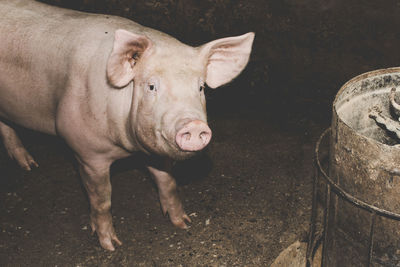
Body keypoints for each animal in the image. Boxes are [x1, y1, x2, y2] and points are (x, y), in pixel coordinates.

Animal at [0, 0, 255, 251]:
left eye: (200, 87)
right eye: (151, 86)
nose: (192, 124)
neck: (129, 149)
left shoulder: (155, 149)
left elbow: (168, 182)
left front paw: (183, 223)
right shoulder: (86, 152)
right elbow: (102, 200)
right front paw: (111, 246)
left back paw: (28, 165)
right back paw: (31, 167)